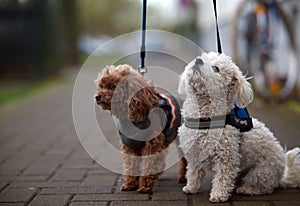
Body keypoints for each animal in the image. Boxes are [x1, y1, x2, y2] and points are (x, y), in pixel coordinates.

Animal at [177, 52, 298, 203]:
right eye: (201, 58)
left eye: (216, 68)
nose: (198, 61)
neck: (205, 118)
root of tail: (280, 177)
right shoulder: (193, 154)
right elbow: (193, 172)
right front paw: (191, 187)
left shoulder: (227, 157)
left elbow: (222, 178)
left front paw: (219, 195)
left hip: (260, 171)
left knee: (264, 187)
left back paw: (246, 189)